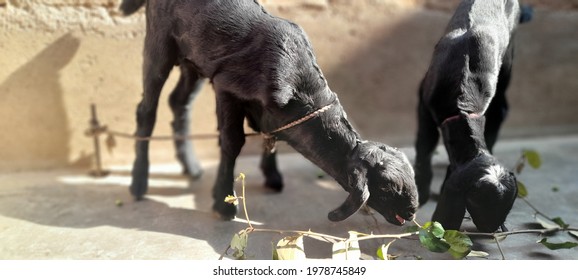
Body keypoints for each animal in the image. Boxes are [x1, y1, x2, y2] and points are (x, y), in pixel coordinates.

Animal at [122, 0, 418, 224]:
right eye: (387, 186)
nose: (411, 212)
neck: (301, 85)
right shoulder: (226, 88)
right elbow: (232, 142)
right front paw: (224, 204)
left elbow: (269, 135)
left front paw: (272, 176)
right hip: (159, 43)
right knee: (146, 110)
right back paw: (138, 184)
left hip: (192, 62)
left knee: (178, 102)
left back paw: (191, 166)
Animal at [414, 0, 532, 232]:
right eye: (477, 201)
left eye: (509, 205)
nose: (491, 229)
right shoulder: (424, 102)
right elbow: (425, 145)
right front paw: (421, 191)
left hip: (508, 57)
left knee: (501, 107)